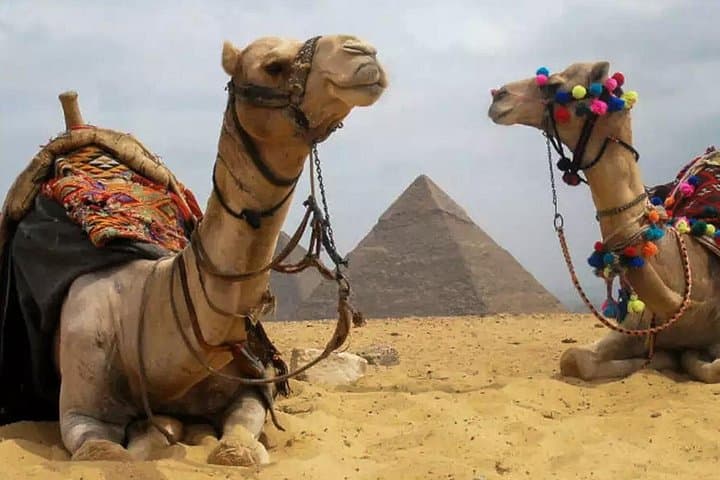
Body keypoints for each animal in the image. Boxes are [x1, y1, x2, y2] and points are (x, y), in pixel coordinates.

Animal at [3, 34, 386, 465]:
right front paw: (154, 433)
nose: (362, 51)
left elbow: (239, 445)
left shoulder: (252, 386)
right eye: (273, 66)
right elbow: (108, 450)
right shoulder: (81, 412)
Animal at [488, 61, 720, 383]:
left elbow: (711, 367)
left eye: (554, 85)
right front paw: (659, 359)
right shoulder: (638, 324)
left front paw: (680, 358)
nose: (499, 96)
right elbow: (574, 359)